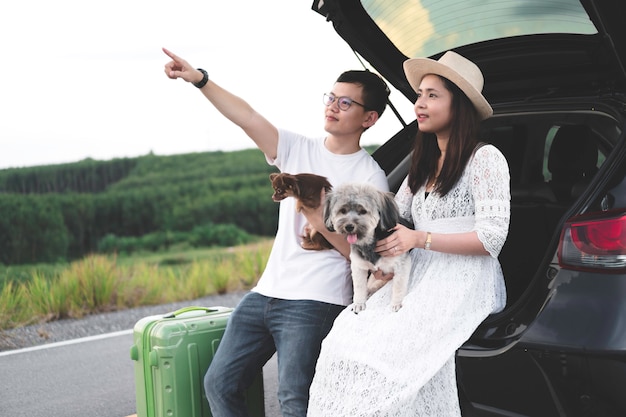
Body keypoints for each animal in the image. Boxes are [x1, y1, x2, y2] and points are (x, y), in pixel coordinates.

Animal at [322, 182, 410, 312]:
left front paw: (396, 303)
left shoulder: (401, 263)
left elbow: (399, 285)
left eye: (363, 211)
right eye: (343, 211)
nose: (349, 226)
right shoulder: (358, 266)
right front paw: (359, 303)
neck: (368, 243)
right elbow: (359, 286)